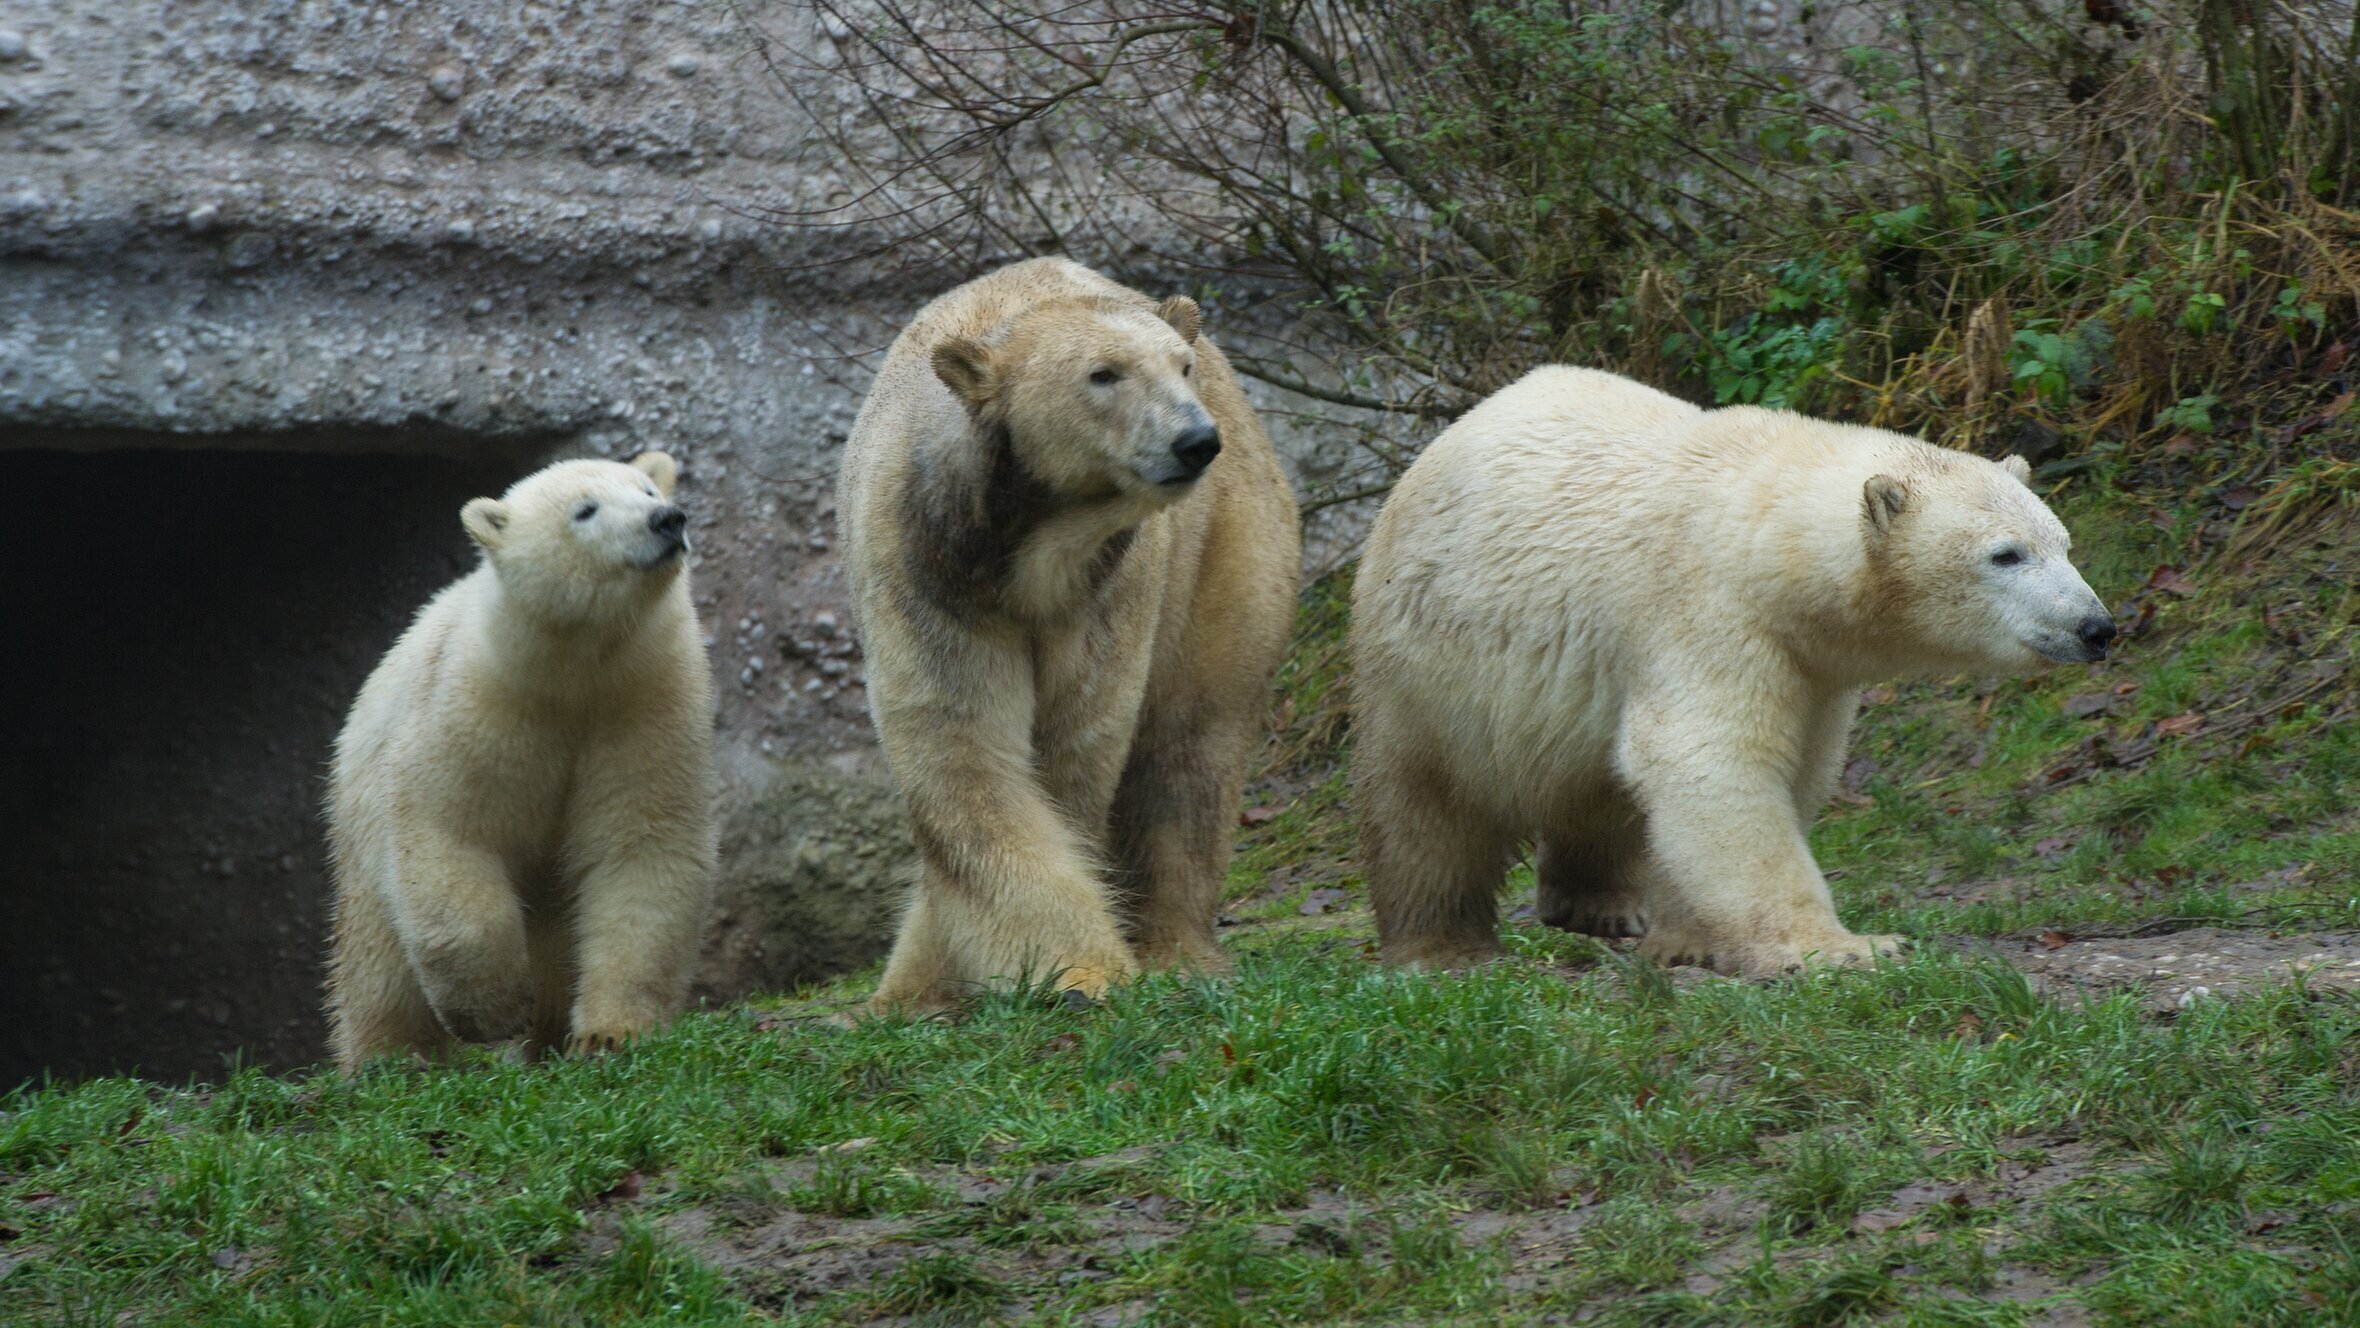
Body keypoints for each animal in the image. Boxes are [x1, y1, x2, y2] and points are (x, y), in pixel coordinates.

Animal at [320, 450, 717, 1070]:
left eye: (648, 490)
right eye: (585, 509)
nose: (666, 520)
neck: (573, 670)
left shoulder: (644, 703)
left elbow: (642, 848)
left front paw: (611, 1035)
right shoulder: (477, 707)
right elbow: (449, 832)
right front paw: (495, 1012)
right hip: (357, 834)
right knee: (378, 962)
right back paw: (389, 1057)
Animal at [840, 254, 1302, 1014]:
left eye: (1180, 366)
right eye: (1103, 373)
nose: (1195, 441)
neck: (1021, 543)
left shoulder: (1106, 585)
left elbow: (1070, 749)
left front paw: (1082, 973)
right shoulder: (925, 568)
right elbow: (963, 752)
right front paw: (1066, 971)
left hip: (1230, 540)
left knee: (1193, 739)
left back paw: (1179, 952)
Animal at [1359, 367, 2114, 981]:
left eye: (2064, 544)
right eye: (2006, 554)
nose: (2096, 627)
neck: (1761, 531)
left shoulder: (1815, 669)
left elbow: (1791, 769)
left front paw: (1686, 941)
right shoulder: (1708, 614)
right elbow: (1714, 763)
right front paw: (1842, 949)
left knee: (1592, 787)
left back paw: (1605, 906)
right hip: (1429, 665)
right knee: (1428, 809)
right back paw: (1442, 948)